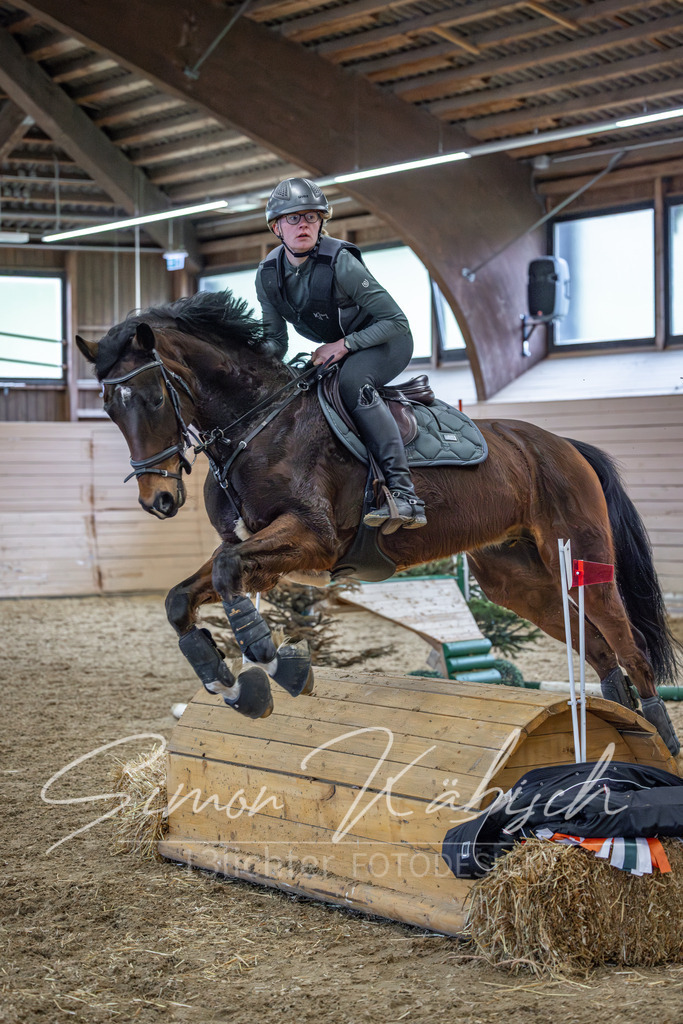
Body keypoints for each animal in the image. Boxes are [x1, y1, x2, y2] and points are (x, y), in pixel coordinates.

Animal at [77, 290, 681, 756]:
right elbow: (183, 597)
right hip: (518, 579)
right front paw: (224, 678)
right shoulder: (258, 549)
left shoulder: (311, 539)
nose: (158, 499)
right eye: (109, 408)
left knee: (627, 643)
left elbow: (227, 575)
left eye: (154, 398)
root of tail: (564, 445)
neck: (257, 424)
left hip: (583, 555)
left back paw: (662, 737)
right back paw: (623, 730)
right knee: (597, 649)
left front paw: (276, 667)